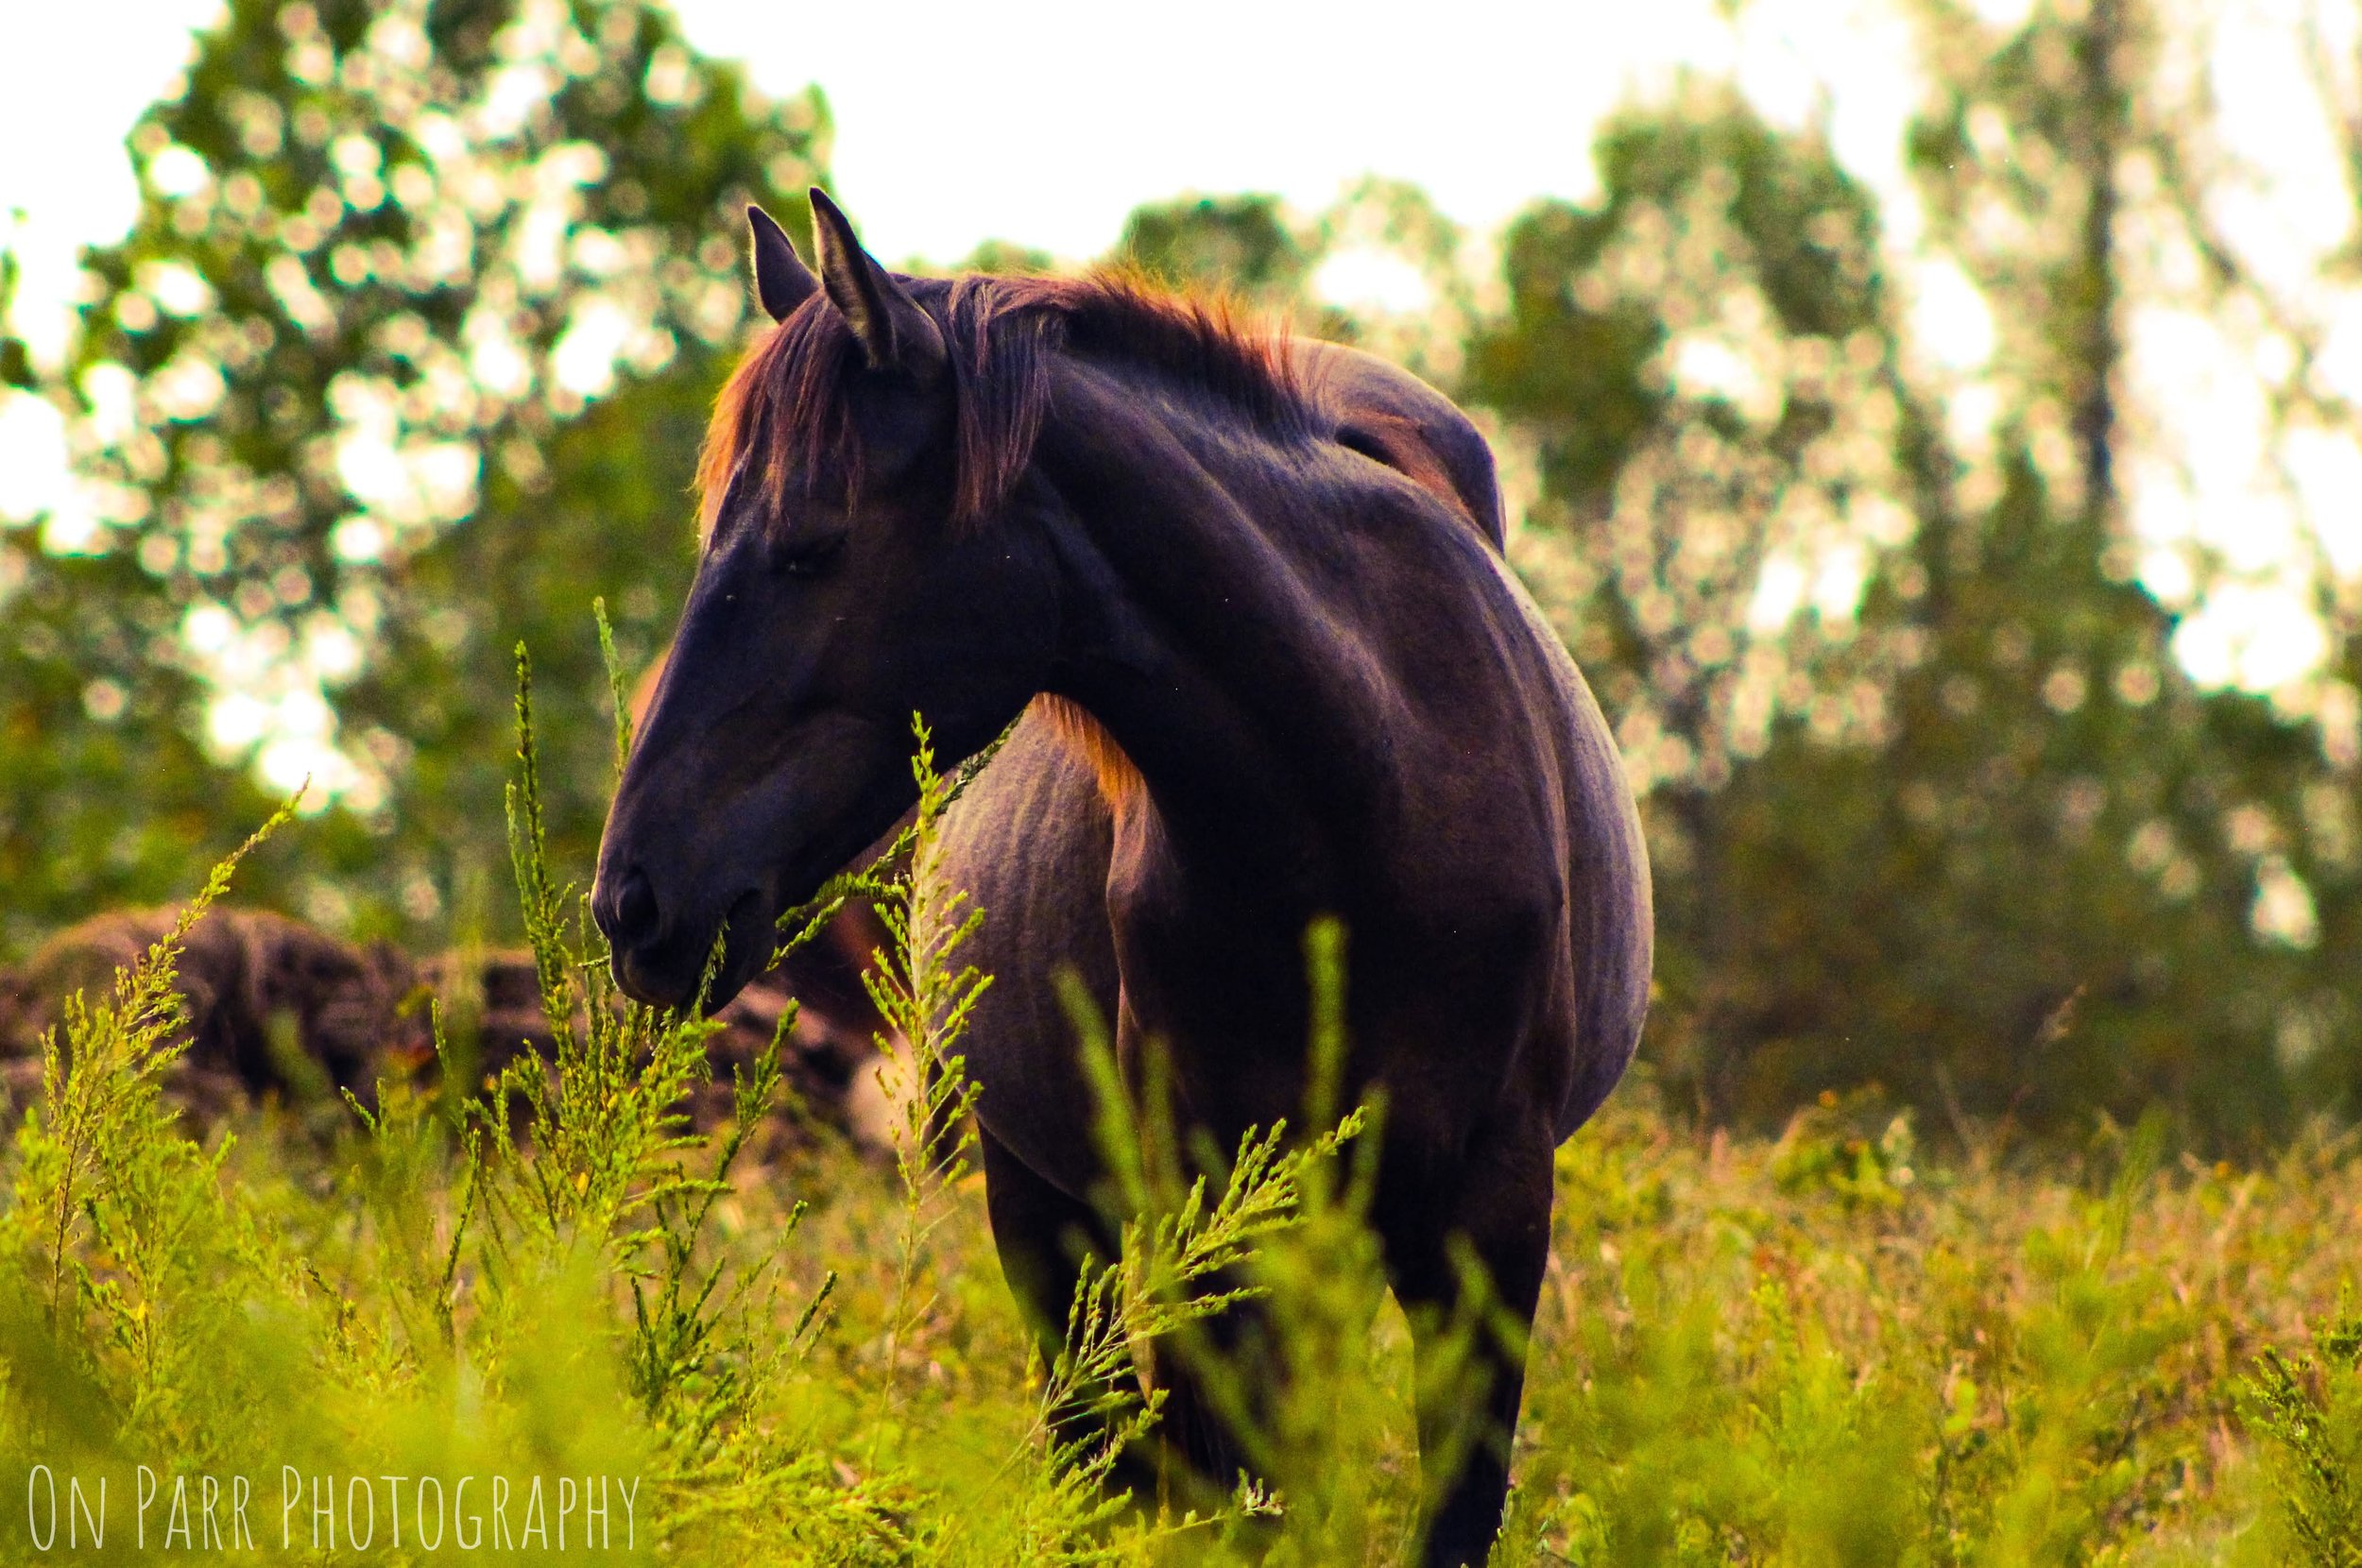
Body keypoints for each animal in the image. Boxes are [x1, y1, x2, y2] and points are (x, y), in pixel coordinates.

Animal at [593, 191, 1653, 1566]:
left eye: (809, 543)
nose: (633, 900)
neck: (1375, 787)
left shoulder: (1495, 1219)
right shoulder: (1210, 1224)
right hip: (1056, 1219)